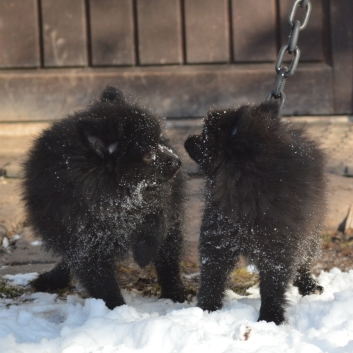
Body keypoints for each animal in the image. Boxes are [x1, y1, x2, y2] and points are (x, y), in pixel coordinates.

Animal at [21, 85, 187, 308]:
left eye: (159, 141)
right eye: (149, 155)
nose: (177, 161)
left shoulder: (157, 201)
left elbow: (157, 220)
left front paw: (145, 252)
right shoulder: (86, 244)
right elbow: (102, 284)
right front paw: (117, 310)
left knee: (169, 258)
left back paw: (174, 291)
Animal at [186, 100, 326, 324]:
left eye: (206, 135)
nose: (188, 139)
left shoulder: (278, 246)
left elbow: (272, 286)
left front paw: (270, 316)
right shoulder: (218, 238)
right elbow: (212, 276)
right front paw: (206, 308)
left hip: (311, 233)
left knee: (304, 262)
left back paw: (309, 286)